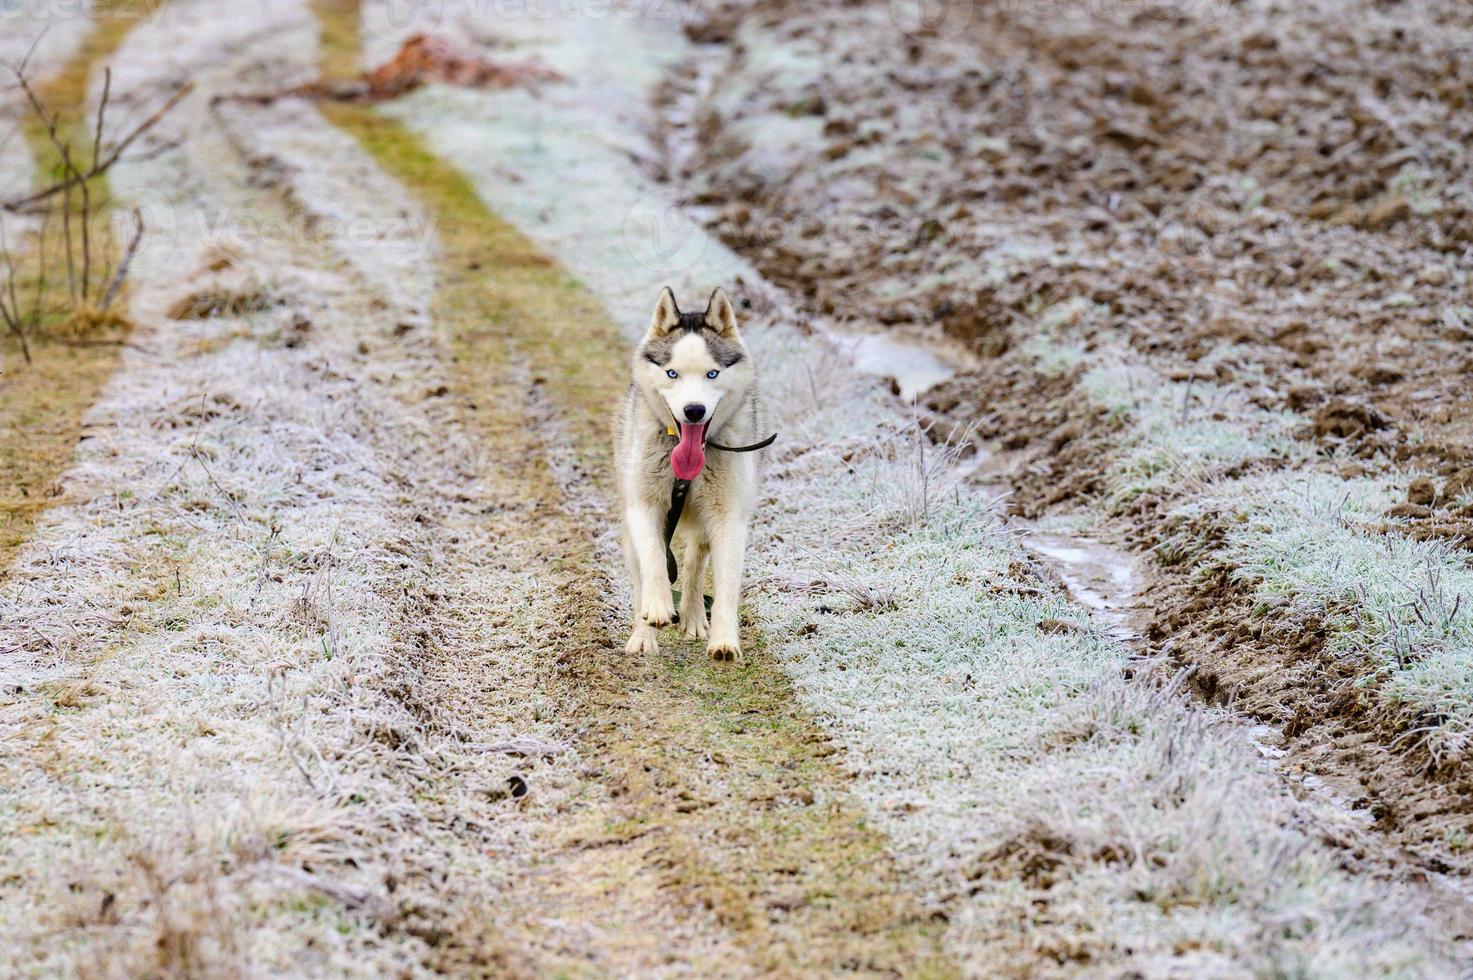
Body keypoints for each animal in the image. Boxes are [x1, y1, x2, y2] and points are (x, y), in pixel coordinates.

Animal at [612, 287, 765, 660]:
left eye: (712, 374)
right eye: (672, 374)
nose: (693, 410)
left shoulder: (728, 517)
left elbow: (725, 584)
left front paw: (724, 639)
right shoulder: (644, 506)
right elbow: (654, 558)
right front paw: (655, 609)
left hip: (705, 520)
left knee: (696, 561)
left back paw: (694, 616)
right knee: (641, 574)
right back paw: (643, 633)